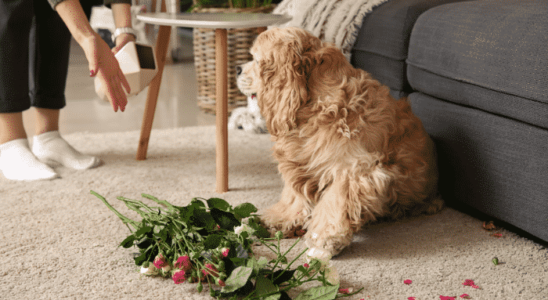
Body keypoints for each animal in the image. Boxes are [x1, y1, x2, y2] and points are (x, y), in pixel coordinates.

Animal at [238, 27, 444, 255]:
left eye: (256, 60)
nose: (237, 69)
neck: (314, 103)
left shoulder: (353, 169)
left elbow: (336, 200)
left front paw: (325, 237)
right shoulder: (301, 163)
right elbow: (295, 195)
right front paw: (280, 219)